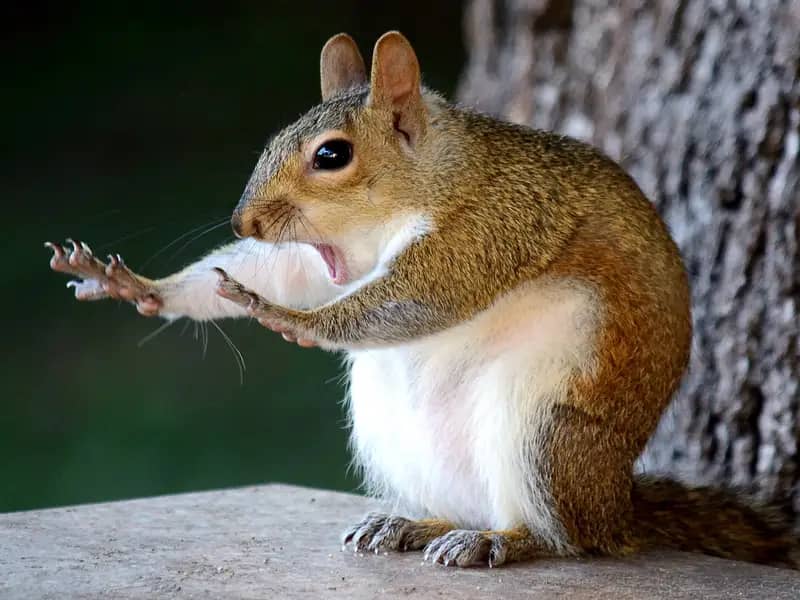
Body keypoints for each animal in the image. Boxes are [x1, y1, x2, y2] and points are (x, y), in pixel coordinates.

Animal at [45, 30, 800, 568]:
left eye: (331, 155)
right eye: (276, 138)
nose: (244, 223)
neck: (429, 180)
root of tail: (617, 508)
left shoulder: (494, 224)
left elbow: (421, 296)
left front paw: (291, 318)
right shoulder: (327, 257)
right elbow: (283, 272)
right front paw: (137, 285)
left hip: (545, 433)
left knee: (568, 538)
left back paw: (505, 541)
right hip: (400, 439)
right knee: (464, 508)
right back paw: (412, 523)